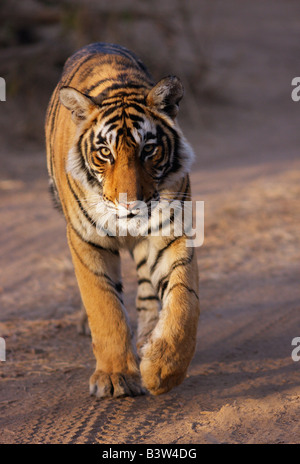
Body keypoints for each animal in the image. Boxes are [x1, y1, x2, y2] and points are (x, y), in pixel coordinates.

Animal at [45, 43, 199, 396]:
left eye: (149, 150)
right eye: (106, 152)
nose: (130, 204)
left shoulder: (172, 232)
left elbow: (184, 302)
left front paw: (162, 370)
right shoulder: (86, 241)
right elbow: (104, 307)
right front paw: (116, 377)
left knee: (146, 289)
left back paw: (147, 339)